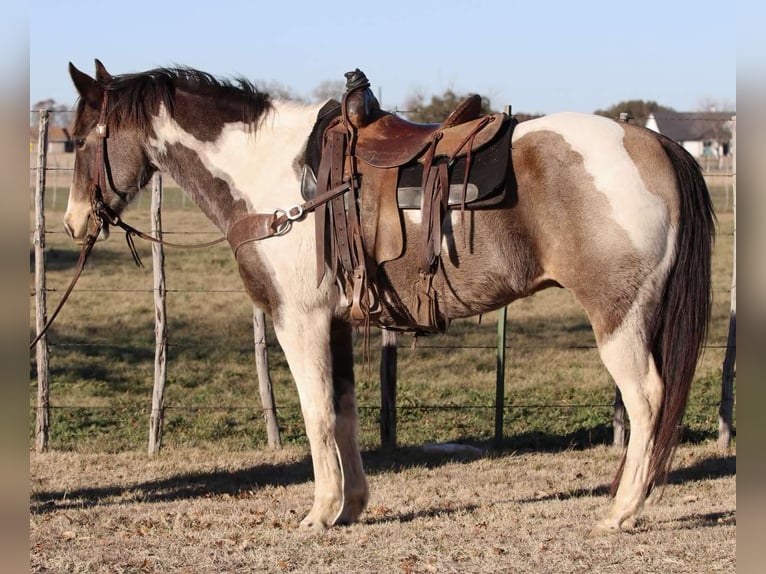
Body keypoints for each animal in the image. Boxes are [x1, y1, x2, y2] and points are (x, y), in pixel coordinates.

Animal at [64, 60, 714, 534]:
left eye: (81, 141)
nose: (73, 223)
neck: (280, 180)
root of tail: (652, 143)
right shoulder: (336, 322)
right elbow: (344, 413)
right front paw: (350, 506)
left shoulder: (298, 321)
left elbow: (316, 412)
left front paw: (318, 514)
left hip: (618, 319)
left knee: (647, 401)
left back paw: (620, 512)